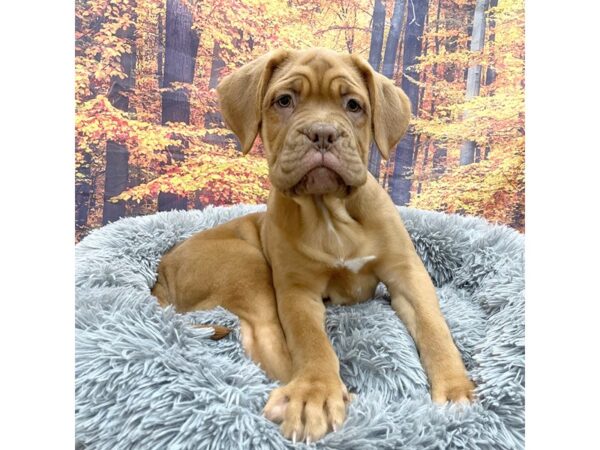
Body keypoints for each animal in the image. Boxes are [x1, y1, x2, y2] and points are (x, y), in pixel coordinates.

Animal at [152, 47, 476, 442]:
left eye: (353, 105)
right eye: (284, 100)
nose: (322, 133)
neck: (329, 212)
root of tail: (162, 272)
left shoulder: (408, 275)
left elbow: (434, 328)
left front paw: (455, 388)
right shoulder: (297, 290)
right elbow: (311, 342)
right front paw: (314, 393)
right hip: (246, 263)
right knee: (264, 342)